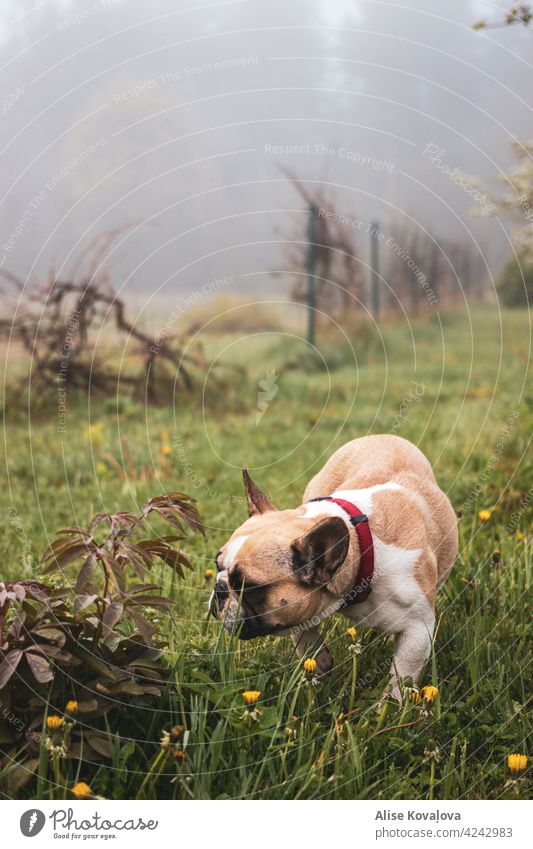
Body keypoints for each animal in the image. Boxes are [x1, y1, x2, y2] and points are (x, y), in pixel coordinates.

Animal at [210, 434, 456, 700]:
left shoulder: (417, 629)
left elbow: (401, 677)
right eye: (217, 564)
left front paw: (389, 706)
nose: (219, 589)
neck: (362, 549)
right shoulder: (300, 609)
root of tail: (379, 436)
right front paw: (318, 669)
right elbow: (306, 641)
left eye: (248, 587)